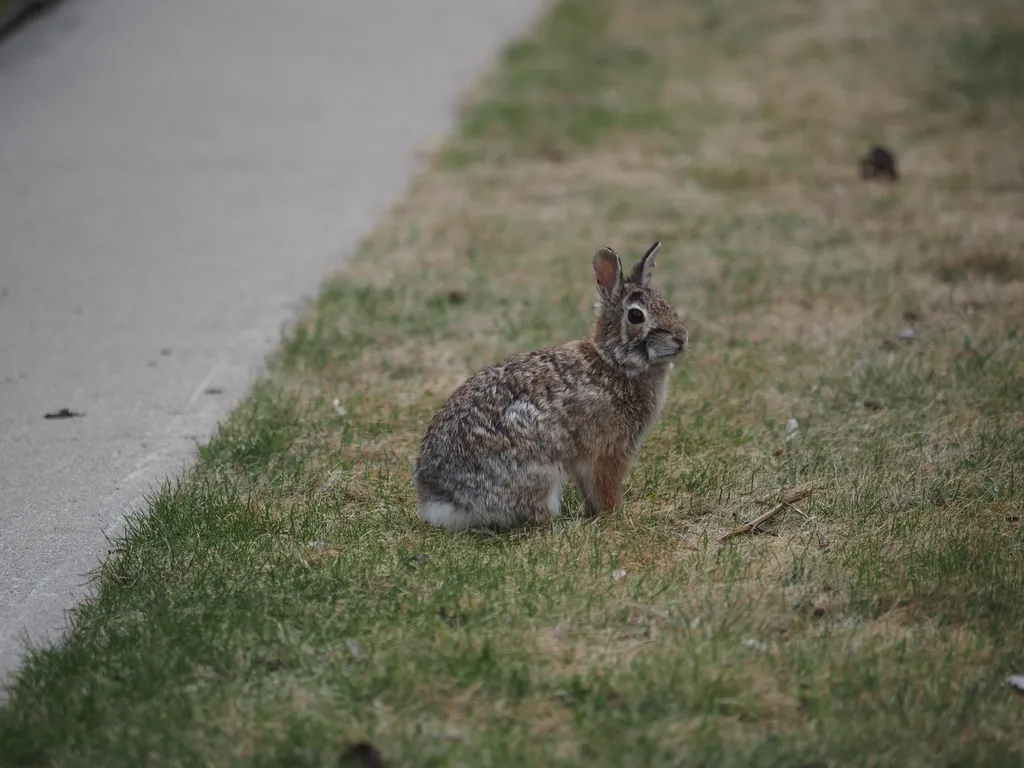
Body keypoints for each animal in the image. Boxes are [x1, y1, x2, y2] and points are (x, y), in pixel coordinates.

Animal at [413, 243, 688, 532]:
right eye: (636, 315)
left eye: (666, 303)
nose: (681, 338)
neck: (613, 361)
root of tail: (441, 500)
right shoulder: (607, 453)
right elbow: (605, 488)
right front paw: (615, 516)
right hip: (540, 474)